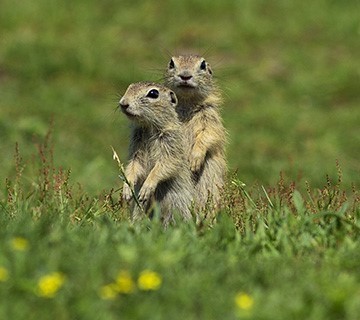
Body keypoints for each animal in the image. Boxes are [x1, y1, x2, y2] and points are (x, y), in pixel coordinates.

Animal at [119, 81, 194, 224]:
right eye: (130, 87)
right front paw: (127, 188)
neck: (149, 127)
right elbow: (133, 166)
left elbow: (166, 165)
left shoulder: (171, 142)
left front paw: (146, 188)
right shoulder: (136, 149)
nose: (123, 103)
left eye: (153, 93)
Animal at [164, 54, 226, 211]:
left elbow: (209, 134)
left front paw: (194, 160)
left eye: (203, 65)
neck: (187, 102)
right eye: (171, 63)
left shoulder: (210, 116)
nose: (185, 75)